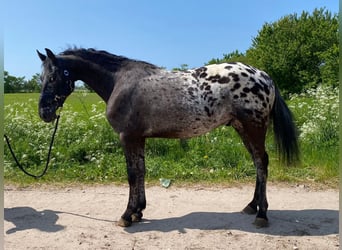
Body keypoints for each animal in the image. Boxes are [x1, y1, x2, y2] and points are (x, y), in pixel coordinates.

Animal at [37, 47, 298, 229]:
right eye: (41, 78)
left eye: (53, 77)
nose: (44, 112)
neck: (119, 81)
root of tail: (263, 75)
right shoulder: (138, 138)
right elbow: (141, 171)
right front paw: (138, 211)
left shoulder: (127, 137)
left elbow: (132, 175)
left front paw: (126, 216)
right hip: (242, 128)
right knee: (258, 163)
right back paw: (252, 206)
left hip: (254, 127)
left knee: (261, 163)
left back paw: (262, 214)